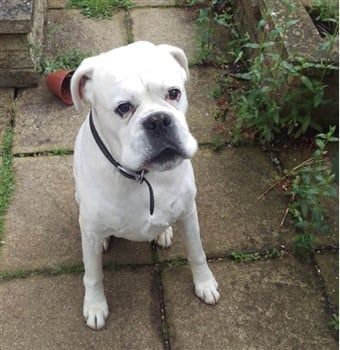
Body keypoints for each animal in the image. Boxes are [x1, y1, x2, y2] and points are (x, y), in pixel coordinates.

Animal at [71, 42, 220, 330]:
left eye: (174, 93)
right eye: (123, 108)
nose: (158, 120)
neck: (144, 177)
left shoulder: (189, 212)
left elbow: (197, 252)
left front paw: (204, 283)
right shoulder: (91, 231)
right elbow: (93, 274)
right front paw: (95, 306)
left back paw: (163, 232)